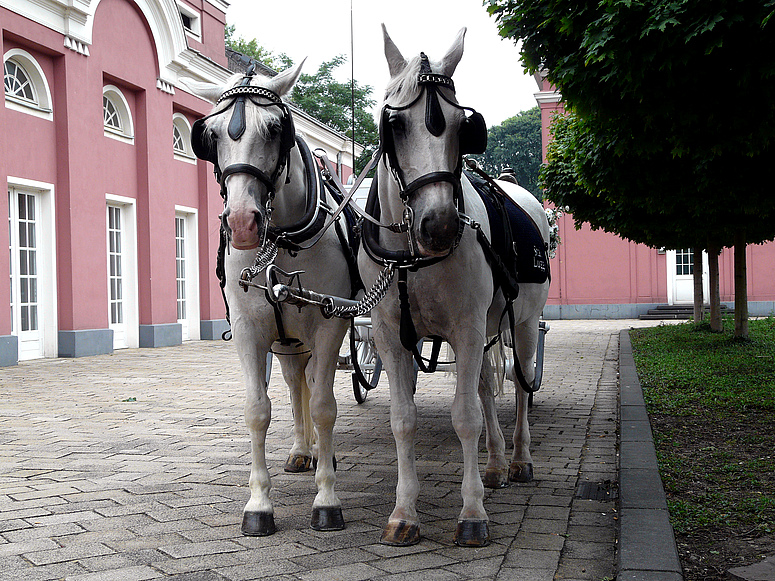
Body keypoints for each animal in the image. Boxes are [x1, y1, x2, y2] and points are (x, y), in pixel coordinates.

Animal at [183, 62, 350, 536]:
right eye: (210, 134)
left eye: (276, 128)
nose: (242, 222)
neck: (281, 243)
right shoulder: (248, 330)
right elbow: (258, 409)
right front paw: (259, 505)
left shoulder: (331, 323)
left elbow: (326, 406)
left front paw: (327, 498)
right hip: (289, 341)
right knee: (297, 384)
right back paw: (301, 450)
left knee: (312, 387)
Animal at [358, 26, 552, 544]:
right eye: (394, 126)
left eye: (462, 126)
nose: (440, 225)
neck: (413, 258)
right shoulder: (391, 336)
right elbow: (404, 420)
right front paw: (404, 512)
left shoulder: (466, 327)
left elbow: (465, 417)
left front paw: (471, 513)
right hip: (486, 328)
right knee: (485, 385)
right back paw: (496, 463)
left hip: (522, 323)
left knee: (520, 384)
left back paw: (519, 459)